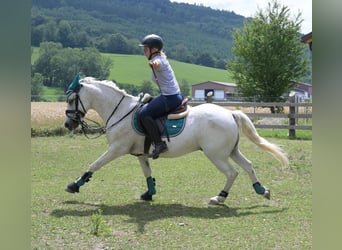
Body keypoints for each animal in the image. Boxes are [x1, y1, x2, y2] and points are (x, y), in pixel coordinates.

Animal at [64, 76, 288, 205]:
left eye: (71, 99)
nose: (68, 124)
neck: (121, 111)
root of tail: (230, 114)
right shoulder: (140, 154)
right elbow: (147, 173)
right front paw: (149, 193)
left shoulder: (116, 149)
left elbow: (94, 165)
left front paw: (74, 185)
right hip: (231, 151)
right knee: (248, 166)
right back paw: (262, 190)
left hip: (216, 155)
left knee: (232, 172)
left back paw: (220, 197)